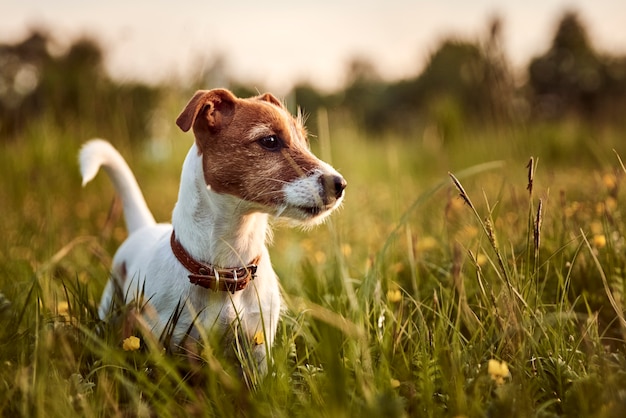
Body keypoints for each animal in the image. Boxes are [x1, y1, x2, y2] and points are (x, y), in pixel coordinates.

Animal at [79, 88, 346, 372]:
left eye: (304, 141)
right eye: (270, 140)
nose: (340, 184)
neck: (227, 270)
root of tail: (145, 227)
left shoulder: (258, 348)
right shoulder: (170, 342)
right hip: (110, 304)